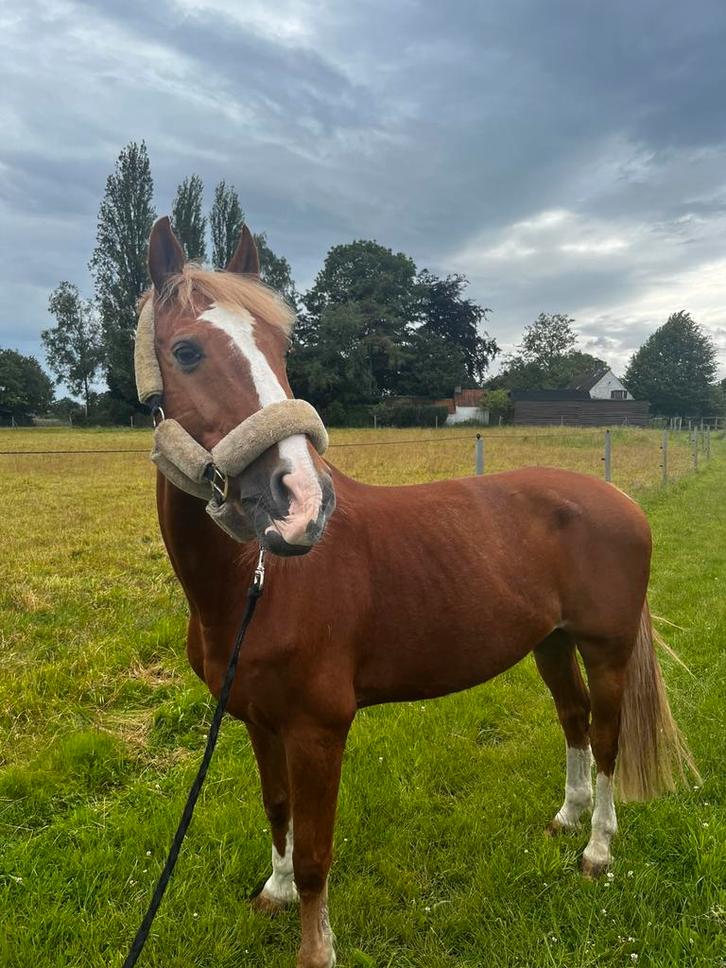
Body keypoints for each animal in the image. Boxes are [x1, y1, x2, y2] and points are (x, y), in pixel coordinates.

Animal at [139, 216, 695, 968]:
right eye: (187, 350)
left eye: (282, 349)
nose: (301, 504)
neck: (256, 585)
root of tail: (622, 500)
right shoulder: (256, 719)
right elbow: (278, 811)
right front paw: (273, 893)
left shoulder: (318, 729)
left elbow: (315, 852)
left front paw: (315, 947)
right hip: (550, 645)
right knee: (574, 718)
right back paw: (567, 817)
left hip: (606, 648)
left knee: (606, 736)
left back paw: (597, 850)